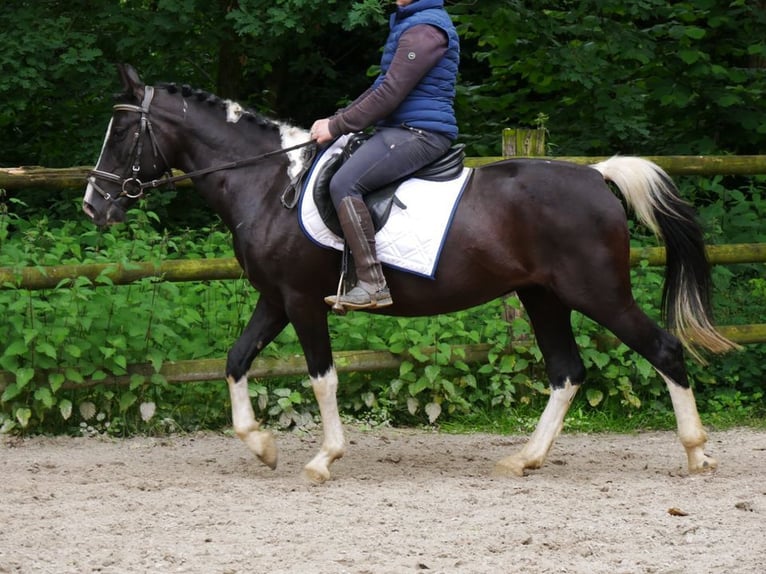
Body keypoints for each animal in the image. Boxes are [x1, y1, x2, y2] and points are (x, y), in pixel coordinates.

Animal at [82, 65, 736, 484]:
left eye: (123, 132)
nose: (93, 206)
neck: (269, 184)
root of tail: (595, 175)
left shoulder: (302, 300)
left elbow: (322, 377)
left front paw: (323, 459)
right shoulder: (275, 299)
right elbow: (236, 361)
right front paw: (262, 446)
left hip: (596, 292)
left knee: (663, 349)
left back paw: (697, 455)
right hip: (542, 296)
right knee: (566, 371)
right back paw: (524, 459)